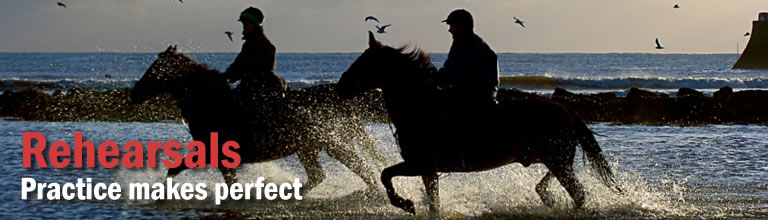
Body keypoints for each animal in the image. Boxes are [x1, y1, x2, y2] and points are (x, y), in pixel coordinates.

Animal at [133, 45, 384, 192]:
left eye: (155, 69)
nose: (136, 92)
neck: (211, 103)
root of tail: (341, 98)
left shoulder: (215, 154)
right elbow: (175, 170)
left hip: (334, 143)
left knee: (363, 170)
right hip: (308, 148)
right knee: (318, 176)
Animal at [332, 32, 620, 215]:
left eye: (364, 62)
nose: (340, 87)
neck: (421, 106)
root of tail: (565, 109)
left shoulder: (419, 164)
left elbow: (385, 175)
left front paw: (406, 204)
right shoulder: (427, 169)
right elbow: (432, 202)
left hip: (556, 159)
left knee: (578, 193)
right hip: (553, 159)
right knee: (556, 185)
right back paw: (546, 195)